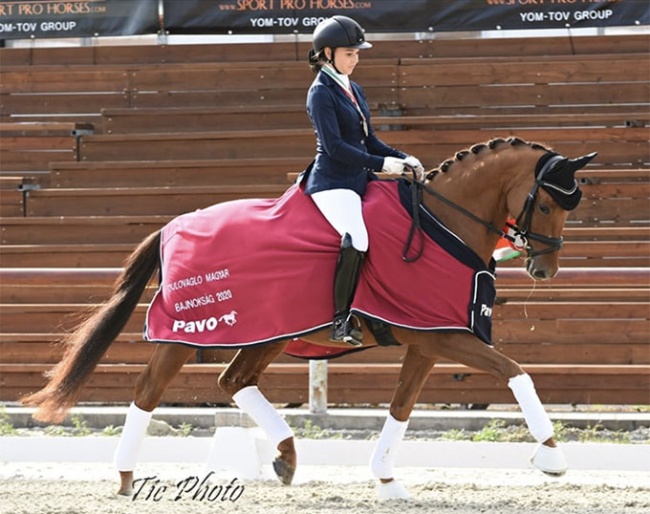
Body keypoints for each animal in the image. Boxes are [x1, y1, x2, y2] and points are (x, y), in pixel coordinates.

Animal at [22, 138, 596, 498]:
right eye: (547, 206)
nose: (545, 269)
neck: (441, 223)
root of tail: (173, 226)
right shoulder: (446, 338)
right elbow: (516, 372)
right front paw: (552, 457)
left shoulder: (428, 341)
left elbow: (402, 408)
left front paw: (387, 480)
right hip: (185, 335)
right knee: (147, 391)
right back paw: (124, 476)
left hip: (270, 332)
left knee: (234, 380)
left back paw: (285, 456)